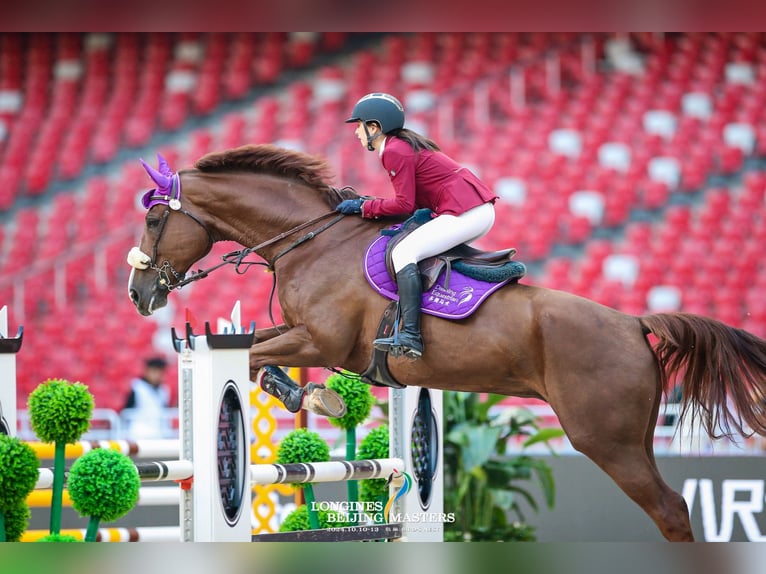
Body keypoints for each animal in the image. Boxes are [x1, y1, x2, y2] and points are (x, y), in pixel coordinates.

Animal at [129, 143, 766, 540]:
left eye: (155, 221)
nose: (139, 294)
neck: (308, 240)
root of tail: (633, 323)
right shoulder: (301, 335)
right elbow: (255, 350)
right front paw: (313, 397)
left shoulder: (322, 343)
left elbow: (259, 361)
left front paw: (314, 397)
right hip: (634, 438)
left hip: (606, 440)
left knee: (671, 509)